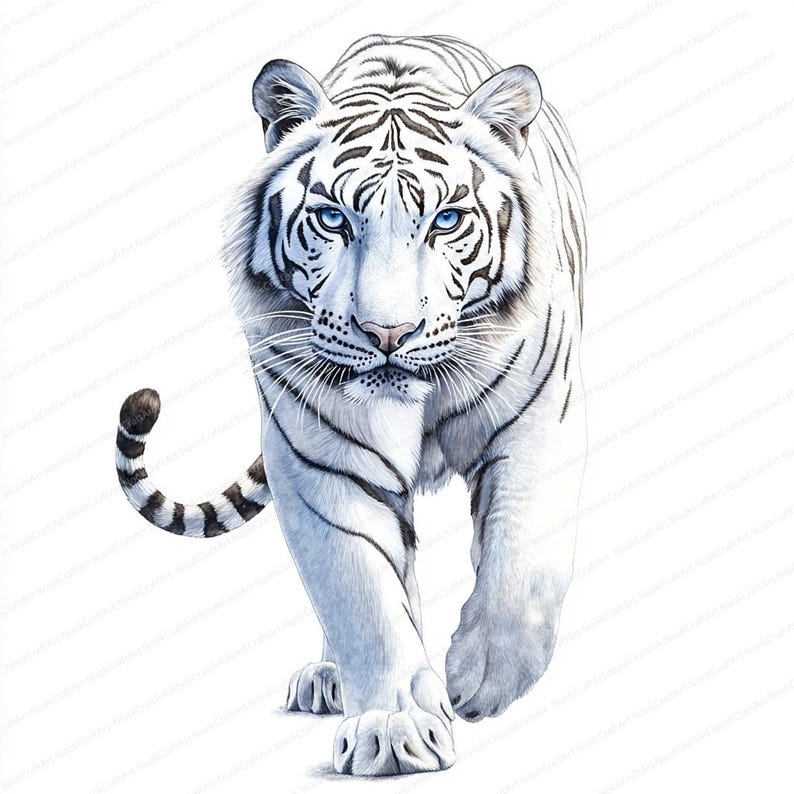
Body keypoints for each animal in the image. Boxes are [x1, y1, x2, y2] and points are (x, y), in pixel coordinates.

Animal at [115, 33, 586, 776]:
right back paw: (333, 680)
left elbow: (523, 572)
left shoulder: (539, 423)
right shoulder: (321, 458)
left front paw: (479, 679)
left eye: (446, 220)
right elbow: (361, 589)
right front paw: (395, 729)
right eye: (333, 218)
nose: (388, 334)